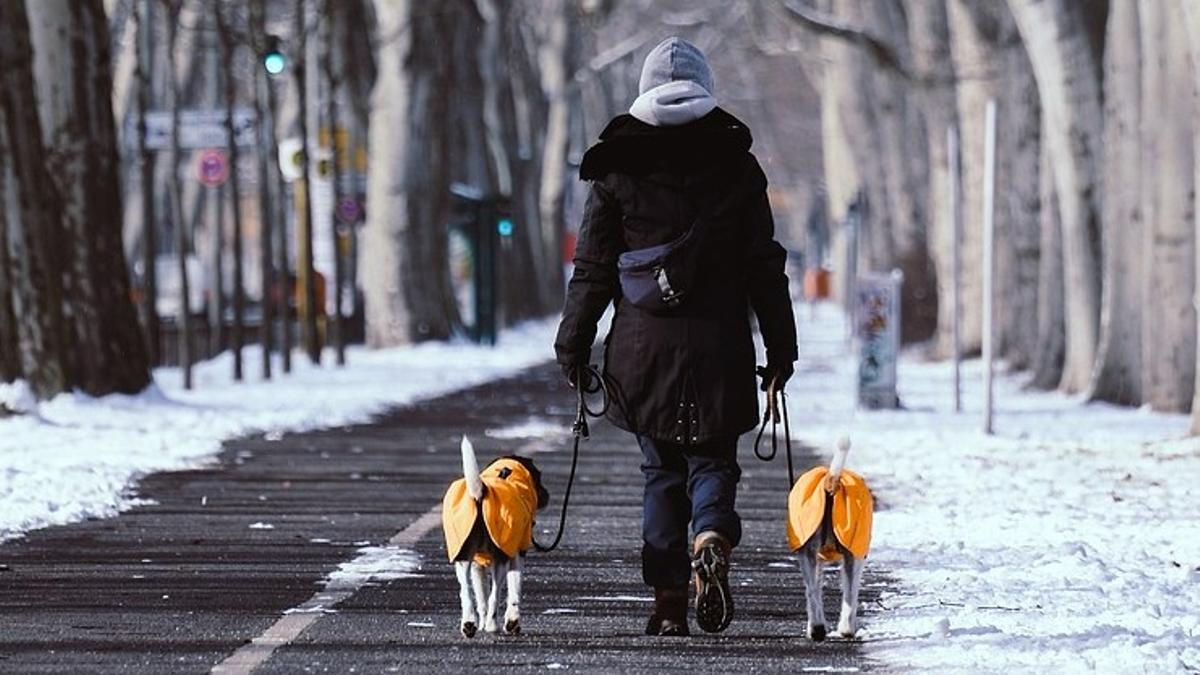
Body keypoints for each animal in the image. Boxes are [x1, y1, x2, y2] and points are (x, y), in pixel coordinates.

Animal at [444, 437, 549, 634]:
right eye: (539, 477)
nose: (547, 495)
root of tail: (481, 493)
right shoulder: (515, 555)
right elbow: (514, 591)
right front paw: (512, 622)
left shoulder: (477, 565)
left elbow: (481, 599)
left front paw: (482, 624)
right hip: (499, 560)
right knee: (495, 594)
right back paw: (493, 626)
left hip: (463, 559)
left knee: (466, 593)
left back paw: (469, 624)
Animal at [787, 439, 873, 638]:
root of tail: (831, 481)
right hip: (853, 555)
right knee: (849, 595)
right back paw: (844, 629)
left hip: (809, 553)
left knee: (812, 591)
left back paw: (818, 628)